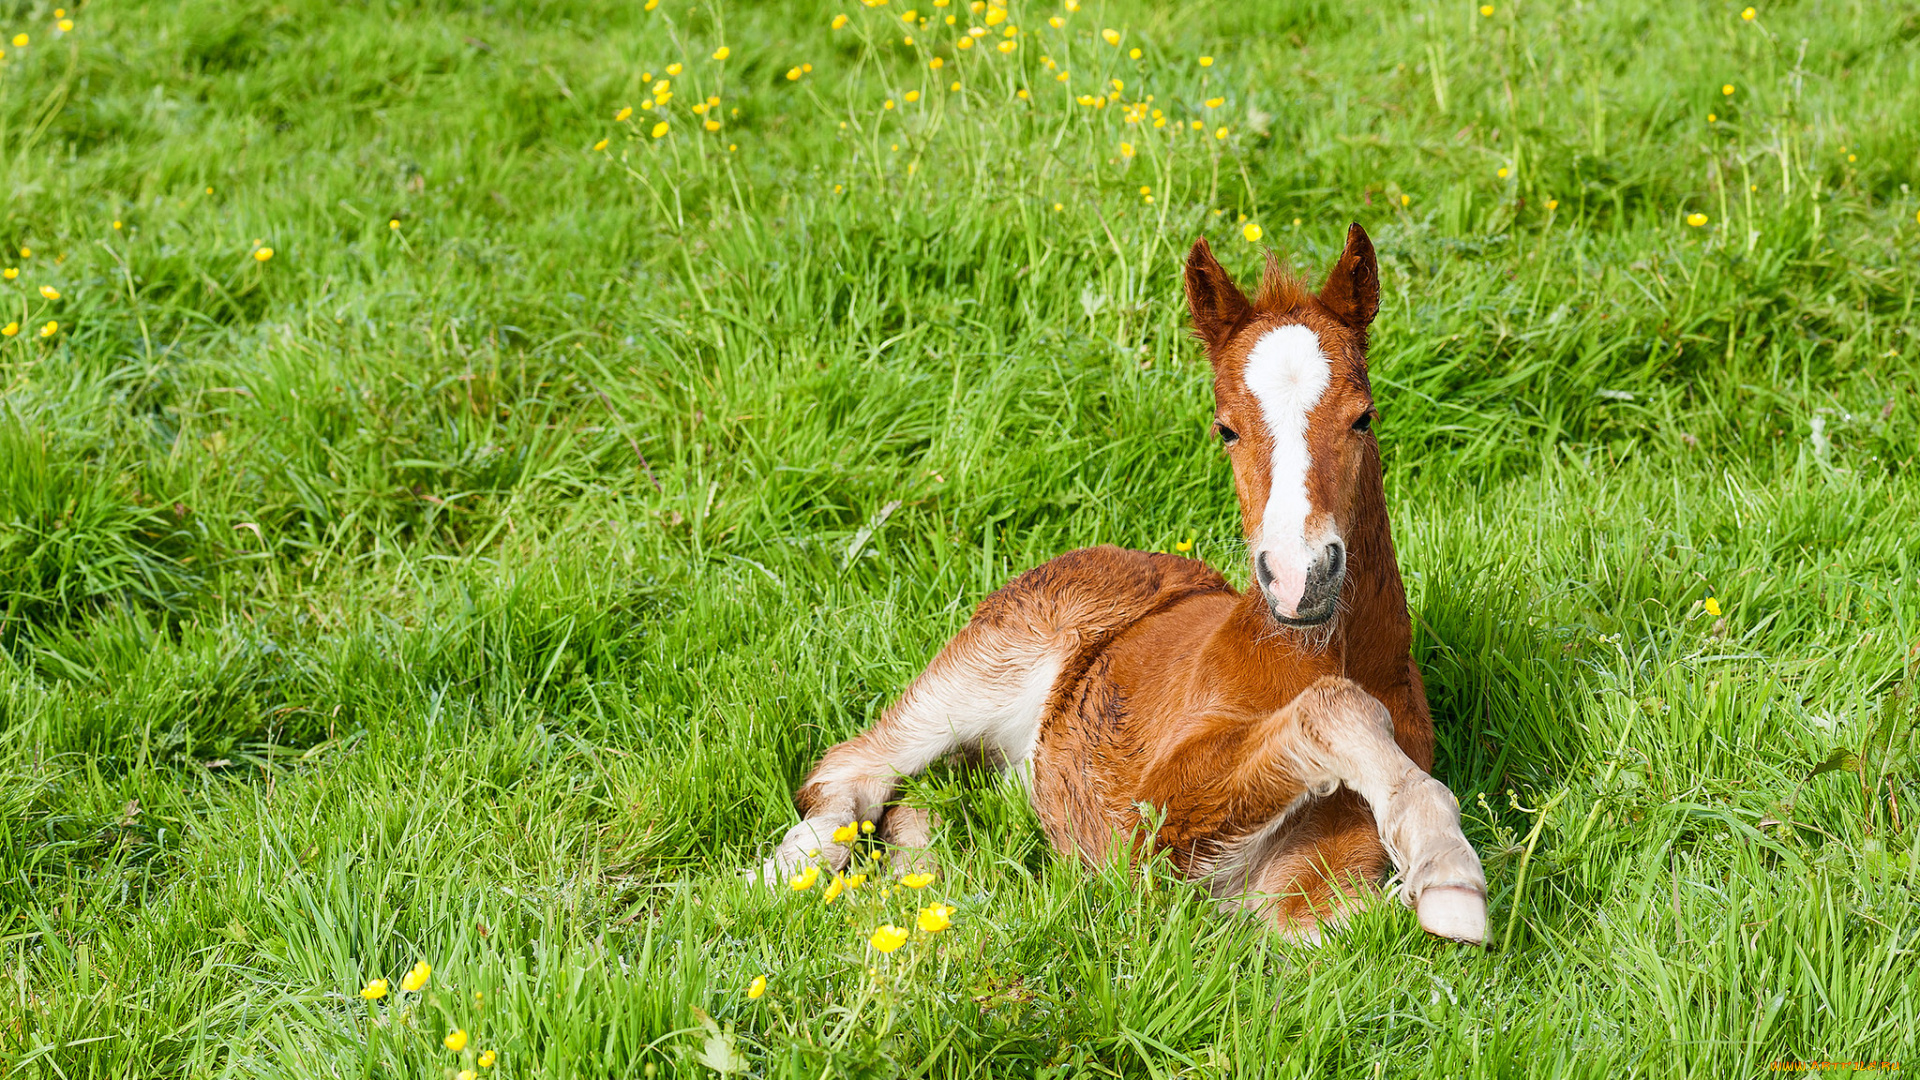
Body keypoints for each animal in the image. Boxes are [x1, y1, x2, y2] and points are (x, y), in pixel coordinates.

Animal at [760, 226, 1482, 941]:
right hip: (977, 675)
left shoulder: (1311, 906)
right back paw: (788, 873)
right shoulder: (1149, 834)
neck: (1320, 653)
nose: (1298, 577)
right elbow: (1331, 709)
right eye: (1226, 428)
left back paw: (927, 877)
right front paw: (1447, 862)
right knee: (854, 767)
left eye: (1364, 417)